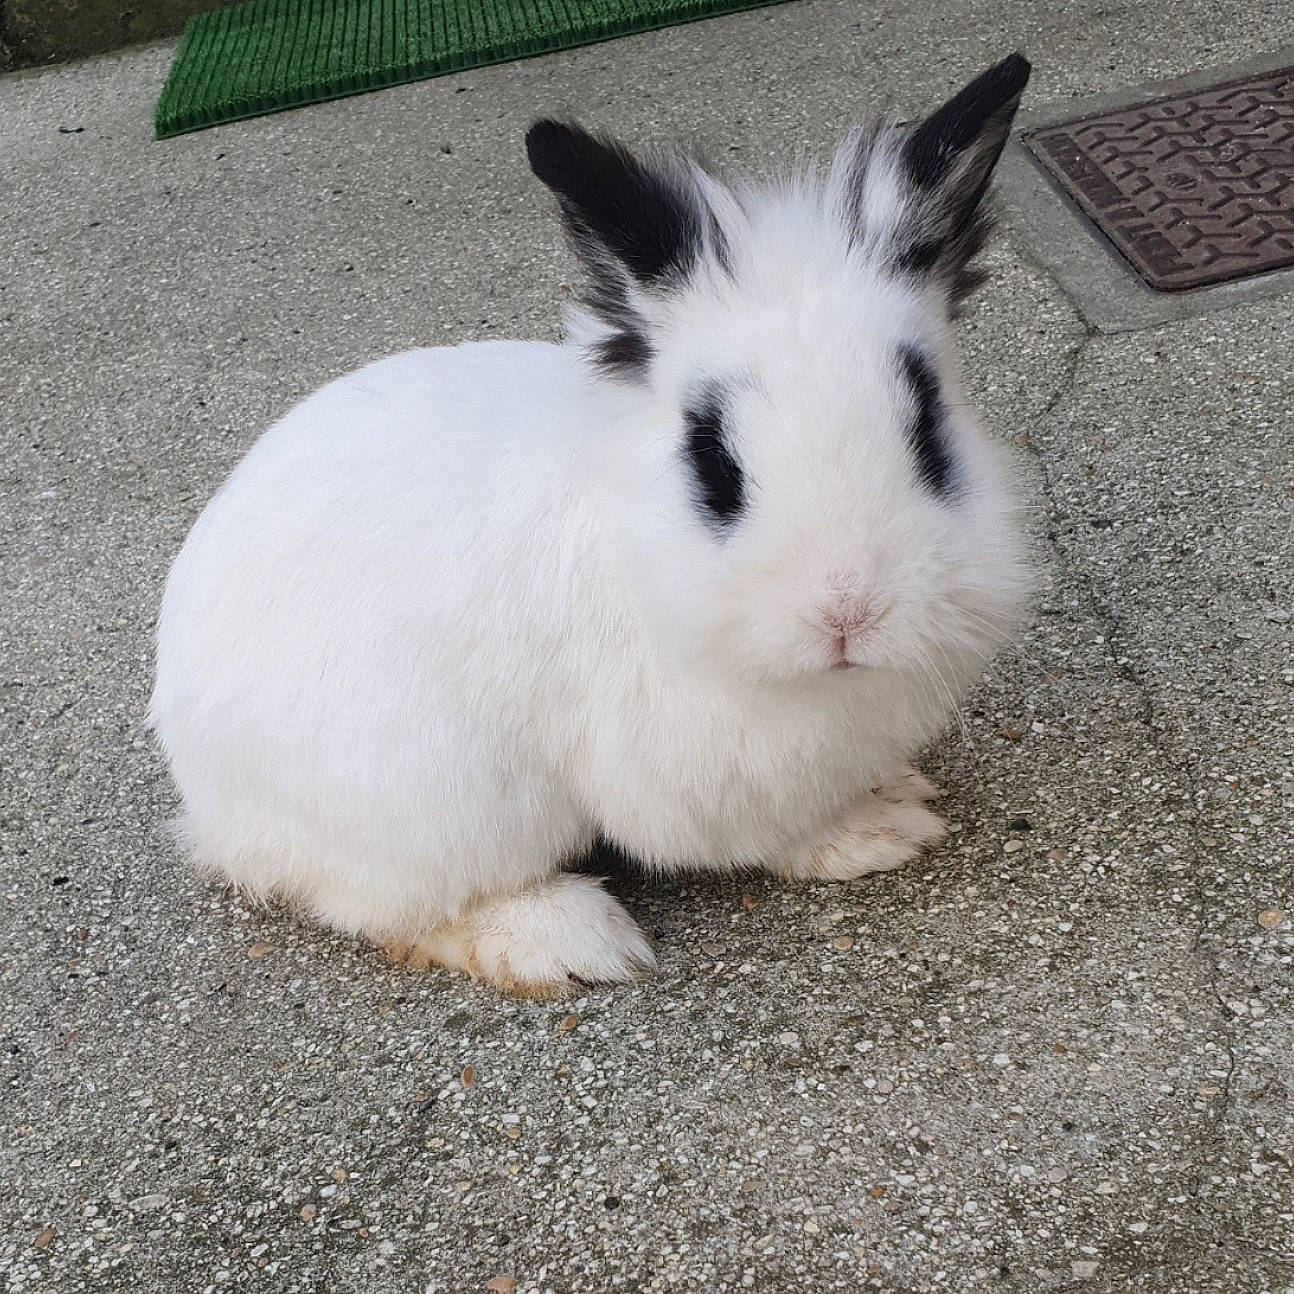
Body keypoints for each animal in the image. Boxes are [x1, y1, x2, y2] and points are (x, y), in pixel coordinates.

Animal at [149, 54, 1035, 997]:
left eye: (928, 428)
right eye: (712, 461)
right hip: (427, 806)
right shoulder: (691, 776)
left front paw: (894, 801)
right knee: (389, 906)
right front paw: (878, 831)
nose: (847, 611)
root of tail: (208, 802)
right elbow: (770, 833)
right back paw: (565, 940)